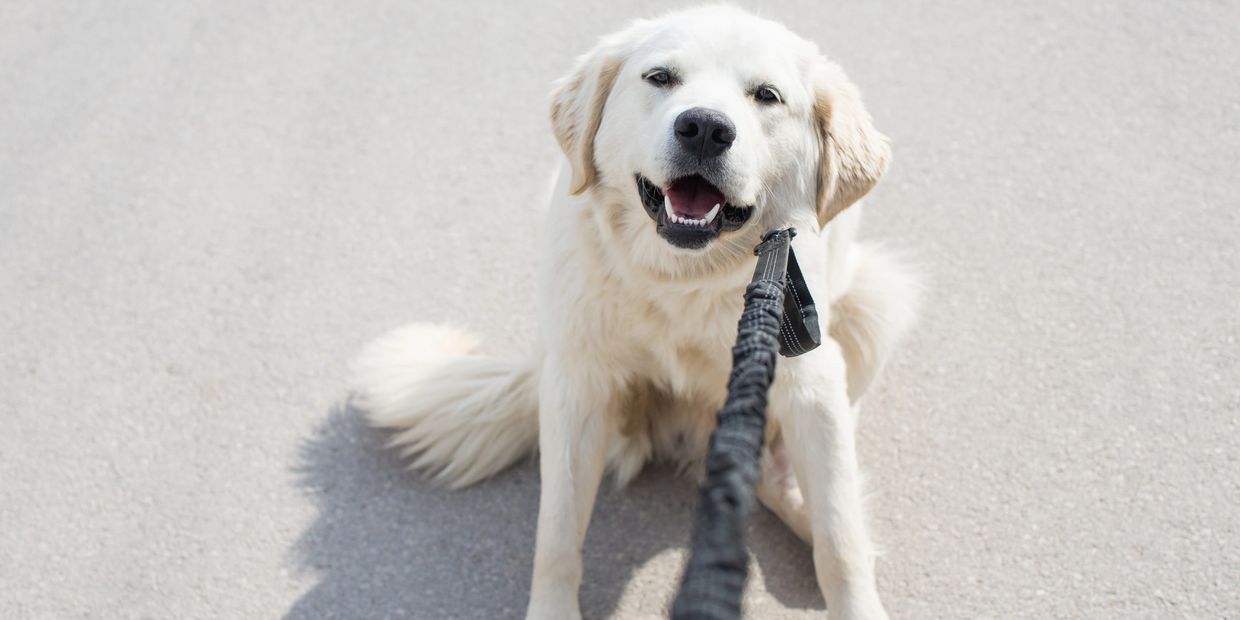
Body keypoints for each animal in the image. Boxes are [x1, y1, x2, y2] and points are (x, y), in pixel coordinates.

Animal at [354, 6, 917, 620]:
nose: (705, 127)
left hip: (875, 304)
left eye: (766, 96)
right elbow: (557, 533)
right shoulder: (578, 385)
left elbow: (839, 539)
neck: (680, 276)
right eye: (661, 78)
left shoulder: (810, 380)